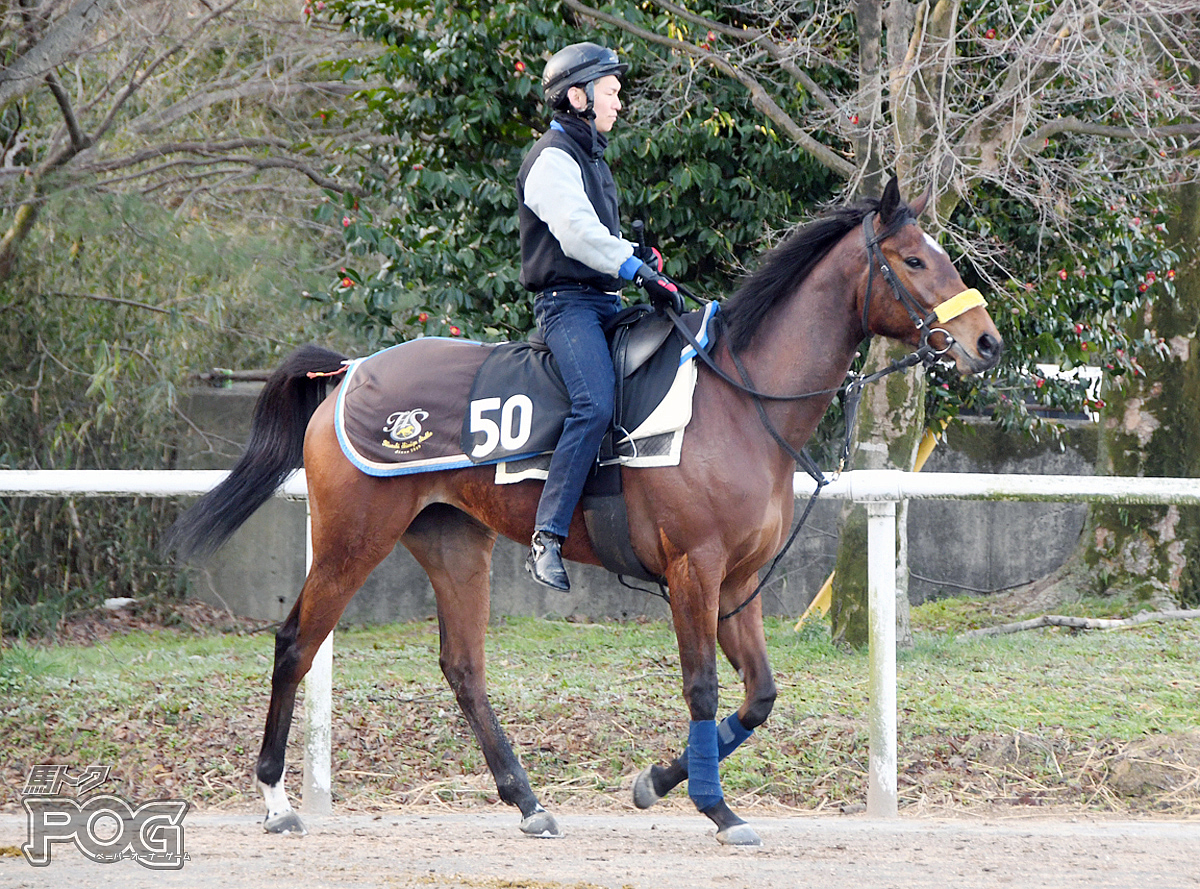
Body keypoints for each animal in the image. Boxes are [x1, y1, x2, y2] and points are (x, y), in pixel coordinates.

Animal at [164, 175, 998, 844]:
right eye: (915, 260)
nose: (985, 341)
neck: (739, 399)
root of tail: (348, 371)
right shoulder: (694, 572)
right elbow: (703, 687)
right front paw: (714, 806)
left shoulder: (736, 583)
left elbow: (759, 696)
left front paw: (656, 781)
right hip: (350, 539)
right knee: (295, 642)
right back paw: (276, 799)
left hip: (453, 542)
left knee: (463, 666)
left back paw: (528, 800)